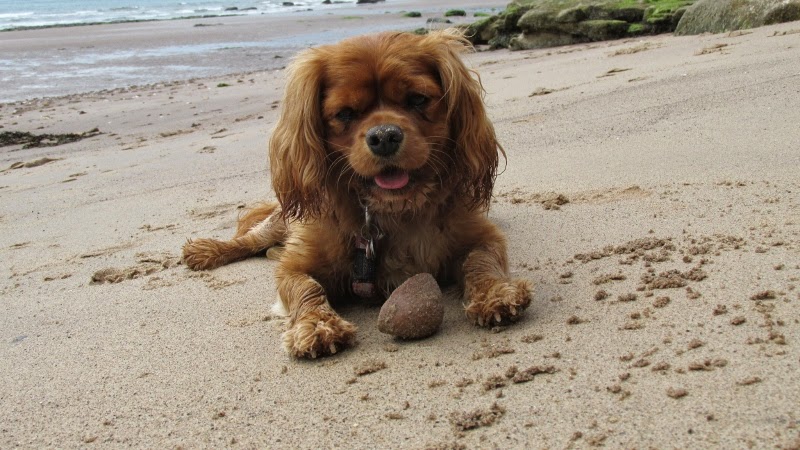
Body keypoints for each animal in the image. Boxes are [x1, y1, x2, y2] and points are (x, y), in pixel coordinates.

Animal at [183, 30, 533, 358]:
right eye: (345, 113)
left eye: (417, 99)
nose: (385, 136)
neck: (391, 209)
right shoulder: (295, 264)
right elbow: (305, 287)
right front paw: (317, 325)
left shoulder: (482, 237)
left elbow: (479, 261)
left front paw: (495, 293)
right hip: (279, 223)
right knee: (251, 239)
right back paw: (207, 250)